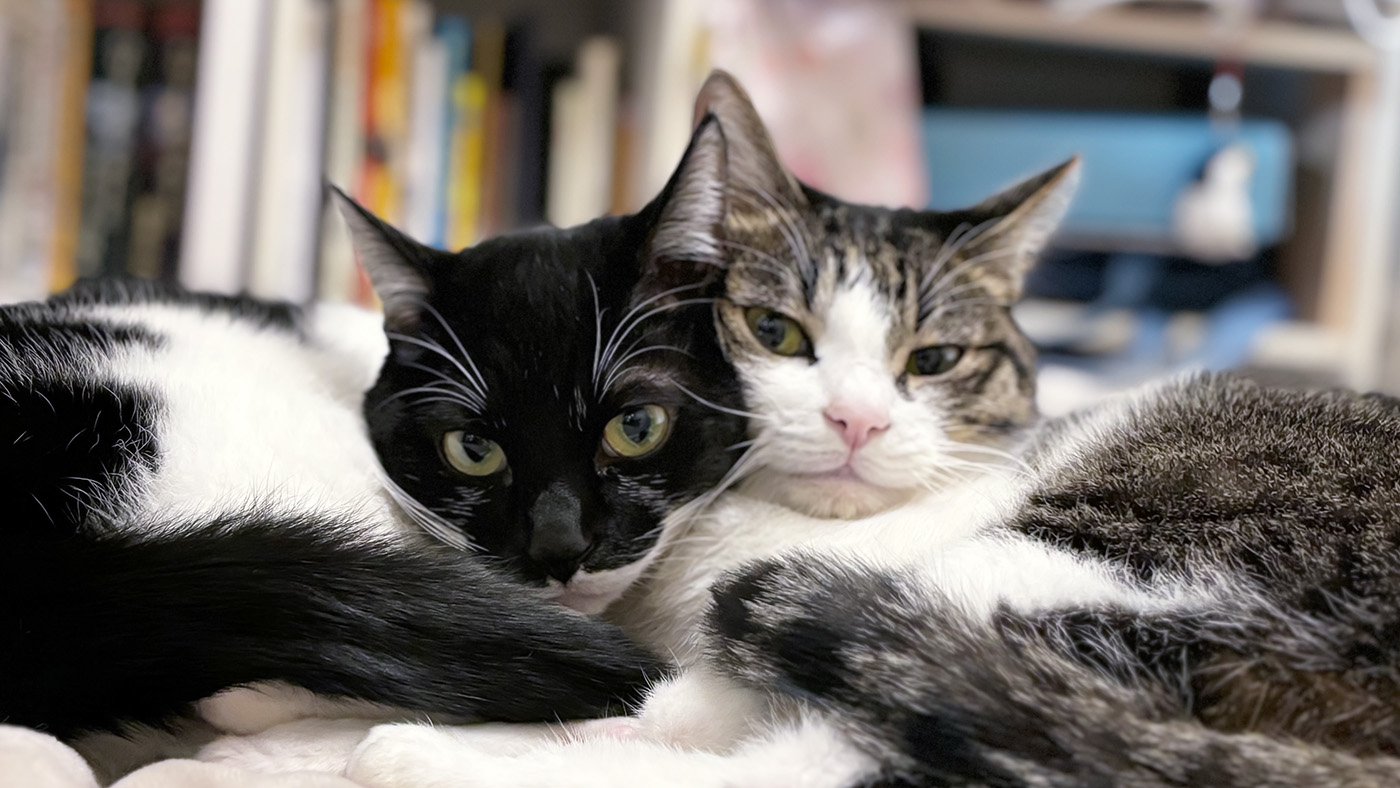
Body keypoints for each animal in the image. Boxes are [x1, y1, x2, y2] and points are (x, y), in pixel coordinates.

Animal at [338, 72, 1400, 788]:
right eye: (775, 332)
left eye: (933, 361)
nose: (857, 417)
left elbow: (710, 703)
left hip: (1095, 552)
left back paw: (420, 755)